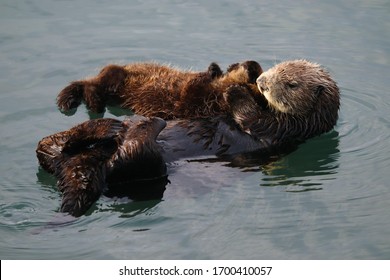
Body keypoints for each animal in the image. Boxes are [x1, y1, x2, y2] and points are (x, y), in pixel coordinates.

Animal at [56, 60, 264, 118]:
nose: (250, 64)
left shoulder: (194, 104)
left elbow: (190, 89)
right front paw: (214, 69)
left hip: (113, 89)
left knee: (92, 87)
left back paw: (94, 103)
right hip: (117, 74)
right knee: (96, 79)